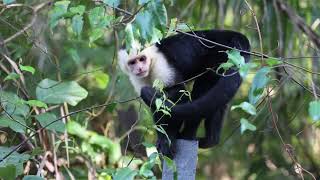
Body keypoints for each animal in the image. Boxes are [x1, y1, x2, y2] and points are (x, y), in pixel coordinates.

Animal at [117, 29, 250, 158]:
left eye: (142, 59)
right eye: (132, 62)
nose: (139, 68)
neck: (151, 62)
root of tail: (235, 36)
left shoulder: (161, 65)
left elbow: (179, 94)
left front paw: (169, 138)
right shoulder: (137, 78)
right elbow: (156, 104)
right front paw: (162, 137)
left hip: (222, 56)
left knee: (203, 90)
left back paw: (187, 135)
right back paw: (212, 139)